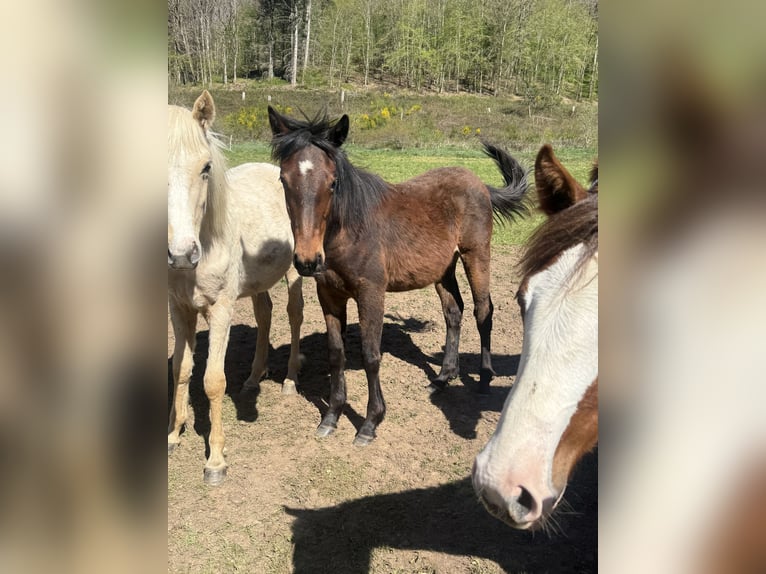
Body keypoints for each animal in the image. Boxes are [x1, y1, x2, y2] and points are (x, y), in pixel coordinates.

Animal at [168, 91, 304, 485]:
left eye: (206, 168)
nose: (181, 253)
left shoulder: (221, 310)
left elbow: (213, 380)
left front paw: (215, 460)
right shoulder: (178, 309)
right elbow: (181, 369)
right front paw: (173, 435)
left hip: (295, 272)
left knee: (294, 315)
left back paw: (290, 380)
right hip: (258, 281)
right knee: (265, 314)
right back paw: (255, 378)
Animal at [267, 106, 529, 446]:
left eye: (333, 182)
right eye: (283, 179)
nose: (308, 261)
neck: (350, 231)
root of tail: (481, 185)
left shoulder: (370, 293)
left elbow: (371, 354)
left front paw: (370, 423)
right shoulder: (329, 295)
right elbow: (336, 354)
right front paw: (331, 417)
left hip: (476, 255)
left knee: (483, 311)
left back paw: (484, 380)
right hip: (443, 269)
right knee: (453, 312)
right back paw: (443, 378)